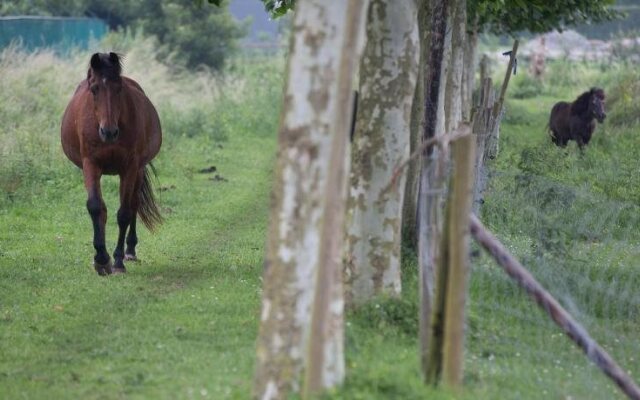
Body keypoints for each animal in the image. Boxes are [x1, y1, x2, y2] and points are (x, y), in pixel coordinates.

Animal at [61, 52, 162, 276]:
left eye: (118, 88)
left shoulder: (130, 167)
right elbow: (95, 207)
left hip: (138, 171)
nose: (109, 132)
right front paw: (101, 259)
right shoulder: (90, 164)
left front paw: (116, 261)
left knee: (133, 204)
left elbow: (124, 213)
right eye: (94, 88)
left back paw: (130, 251)